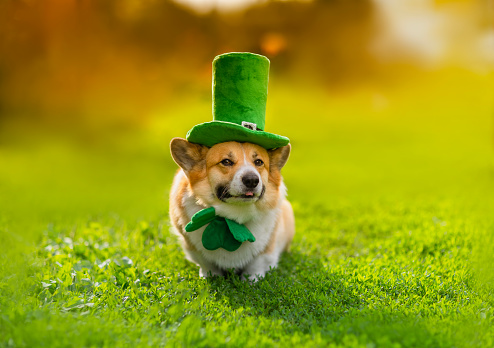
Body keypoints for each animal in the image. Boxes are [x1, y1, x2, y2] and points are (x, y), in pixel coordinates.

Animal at [170, 137, 294, 282]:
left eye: (258, 162)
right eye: (226, 161)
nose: (252, 180)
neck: (233, 217)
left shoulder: (267, 247)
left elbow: (256, 264)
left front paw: (251, 281)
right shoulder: (193, 247)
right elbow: (206, 263)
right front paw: (210, 277)